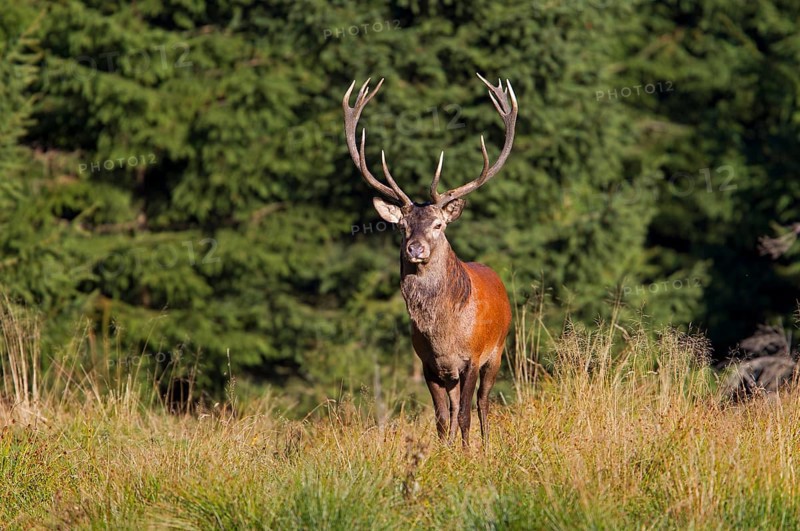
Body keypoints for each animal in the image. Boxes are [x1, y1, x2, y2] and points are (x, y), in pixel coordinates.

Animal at [342, 74, 517, 448]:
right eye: (402, 225)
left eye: (438, 224)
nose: (415, 249)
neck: (443, 335)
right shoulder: (428, 363)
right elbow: (441, 418)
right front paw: (445, 453)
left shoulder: (472, 357)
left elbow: (465, 414)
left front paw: (468, 455)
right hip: (452, 373)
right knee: (452, 408)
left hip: (497, 351)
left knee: (483, 404)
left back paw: (486, 444)